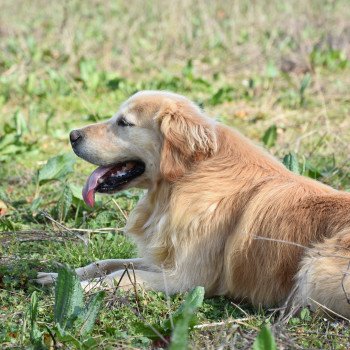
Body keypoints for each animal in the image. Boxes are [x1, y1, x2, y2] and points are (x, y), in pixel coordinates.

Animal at [37, 90, 350, 318]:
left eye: (124, 123)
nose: (72, 135)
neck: (186, 179)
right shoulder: (166, 259)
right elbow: (109, 263)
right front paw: (57, 275)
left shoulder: (187, 279)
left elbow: (122, 277)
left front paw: (85, 287)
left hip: (313, 270)